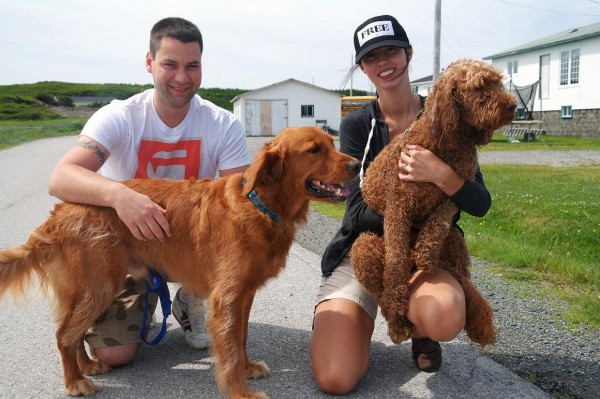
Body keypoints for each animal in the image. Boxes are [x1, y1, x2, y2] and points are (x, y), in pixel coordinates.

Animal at [352, 58, 516, 346]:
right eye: (480, 86)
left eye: (498, 82)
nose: (512, 105)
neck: (448, 141)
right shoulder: (398, 208)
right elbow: (396, 265)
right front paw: (398, 312)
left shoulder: (456, 189)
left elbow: (440, 220)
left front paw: (425, 252)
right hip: (365, 247)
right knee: (382, 293)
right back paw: (398, 320)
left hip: (455, 242)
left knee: (462, 279)